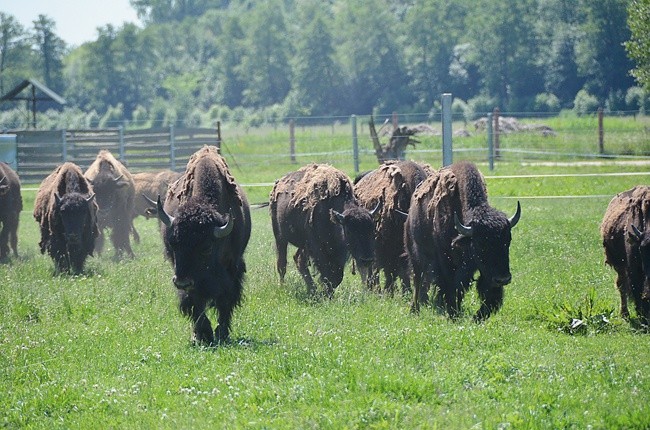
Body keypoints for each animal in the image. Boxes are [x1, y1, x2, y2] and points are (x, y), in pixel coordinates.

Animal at [156, 146, 249, 344]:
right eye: (173, 244)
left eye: (206, 247)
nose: (182, 281)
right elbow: (195, 302)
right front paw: (203, 334)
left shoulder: (233, 269)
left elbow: (226, 299)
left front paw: (221, 333)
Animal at [268, 162, 378, 296]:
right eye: (350, 230)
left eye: (372, 229)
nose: (367, 259)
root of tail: (279, 183)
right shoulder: (318, 248)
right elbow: (327, 274)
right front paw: (326, 294)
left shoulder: (339, 252)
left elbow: (337, 276)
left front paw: (325, 292)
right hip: (280, 237)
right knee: (282, 264)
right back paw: (283, 287)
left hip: (303, 245)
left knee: (299, 259)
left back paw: (312, 289)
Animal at [402, 161, 520, 320]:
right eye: (480, 244)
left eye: (507, 241)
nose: (502, 279)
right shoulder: (446, 261)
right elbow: (450, 285)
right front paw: (452, 312)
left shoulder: (479, 268)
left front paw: (478, 315)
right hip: (416, 254)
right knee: (418, 279)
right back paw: (415, 309)